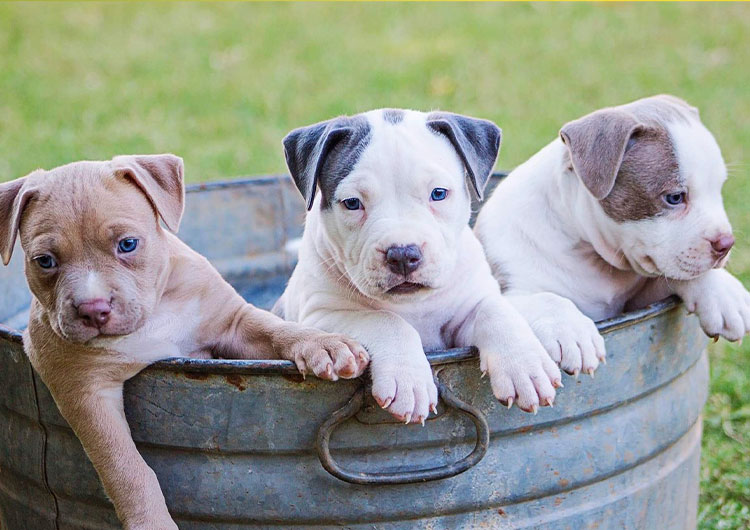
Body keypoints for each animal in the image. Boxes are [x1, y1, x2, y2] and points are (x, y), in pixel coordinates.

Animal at [0, 155, 370, 528]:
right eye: (45, 261)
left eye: (128, 244)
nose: (93, 309)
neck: (153, 315)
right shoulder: (85, 392)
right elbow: (125, 467)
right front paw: (151, 521)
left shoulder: (234, 324)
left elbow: (275, 329)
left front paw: (324, 345)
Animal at [274, 108, 560, 420]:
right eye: (352, 203)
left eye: (438, 193)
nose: (402, 254)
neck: (412, 304)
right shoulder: (321, 316)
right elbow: (385, 320)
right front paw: (408, 381)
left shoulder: (466, 312)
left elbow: (495, 311)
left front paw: (524, 365)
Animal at [476, 95, 750, 376]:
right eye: (675, 197)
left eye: (719, 188)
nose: (726, 243)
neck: (591, 256)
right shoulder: (510, 287)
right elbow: (546, 299)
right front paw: (572, 332)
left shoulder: (642, 299)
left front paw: (724, 294)